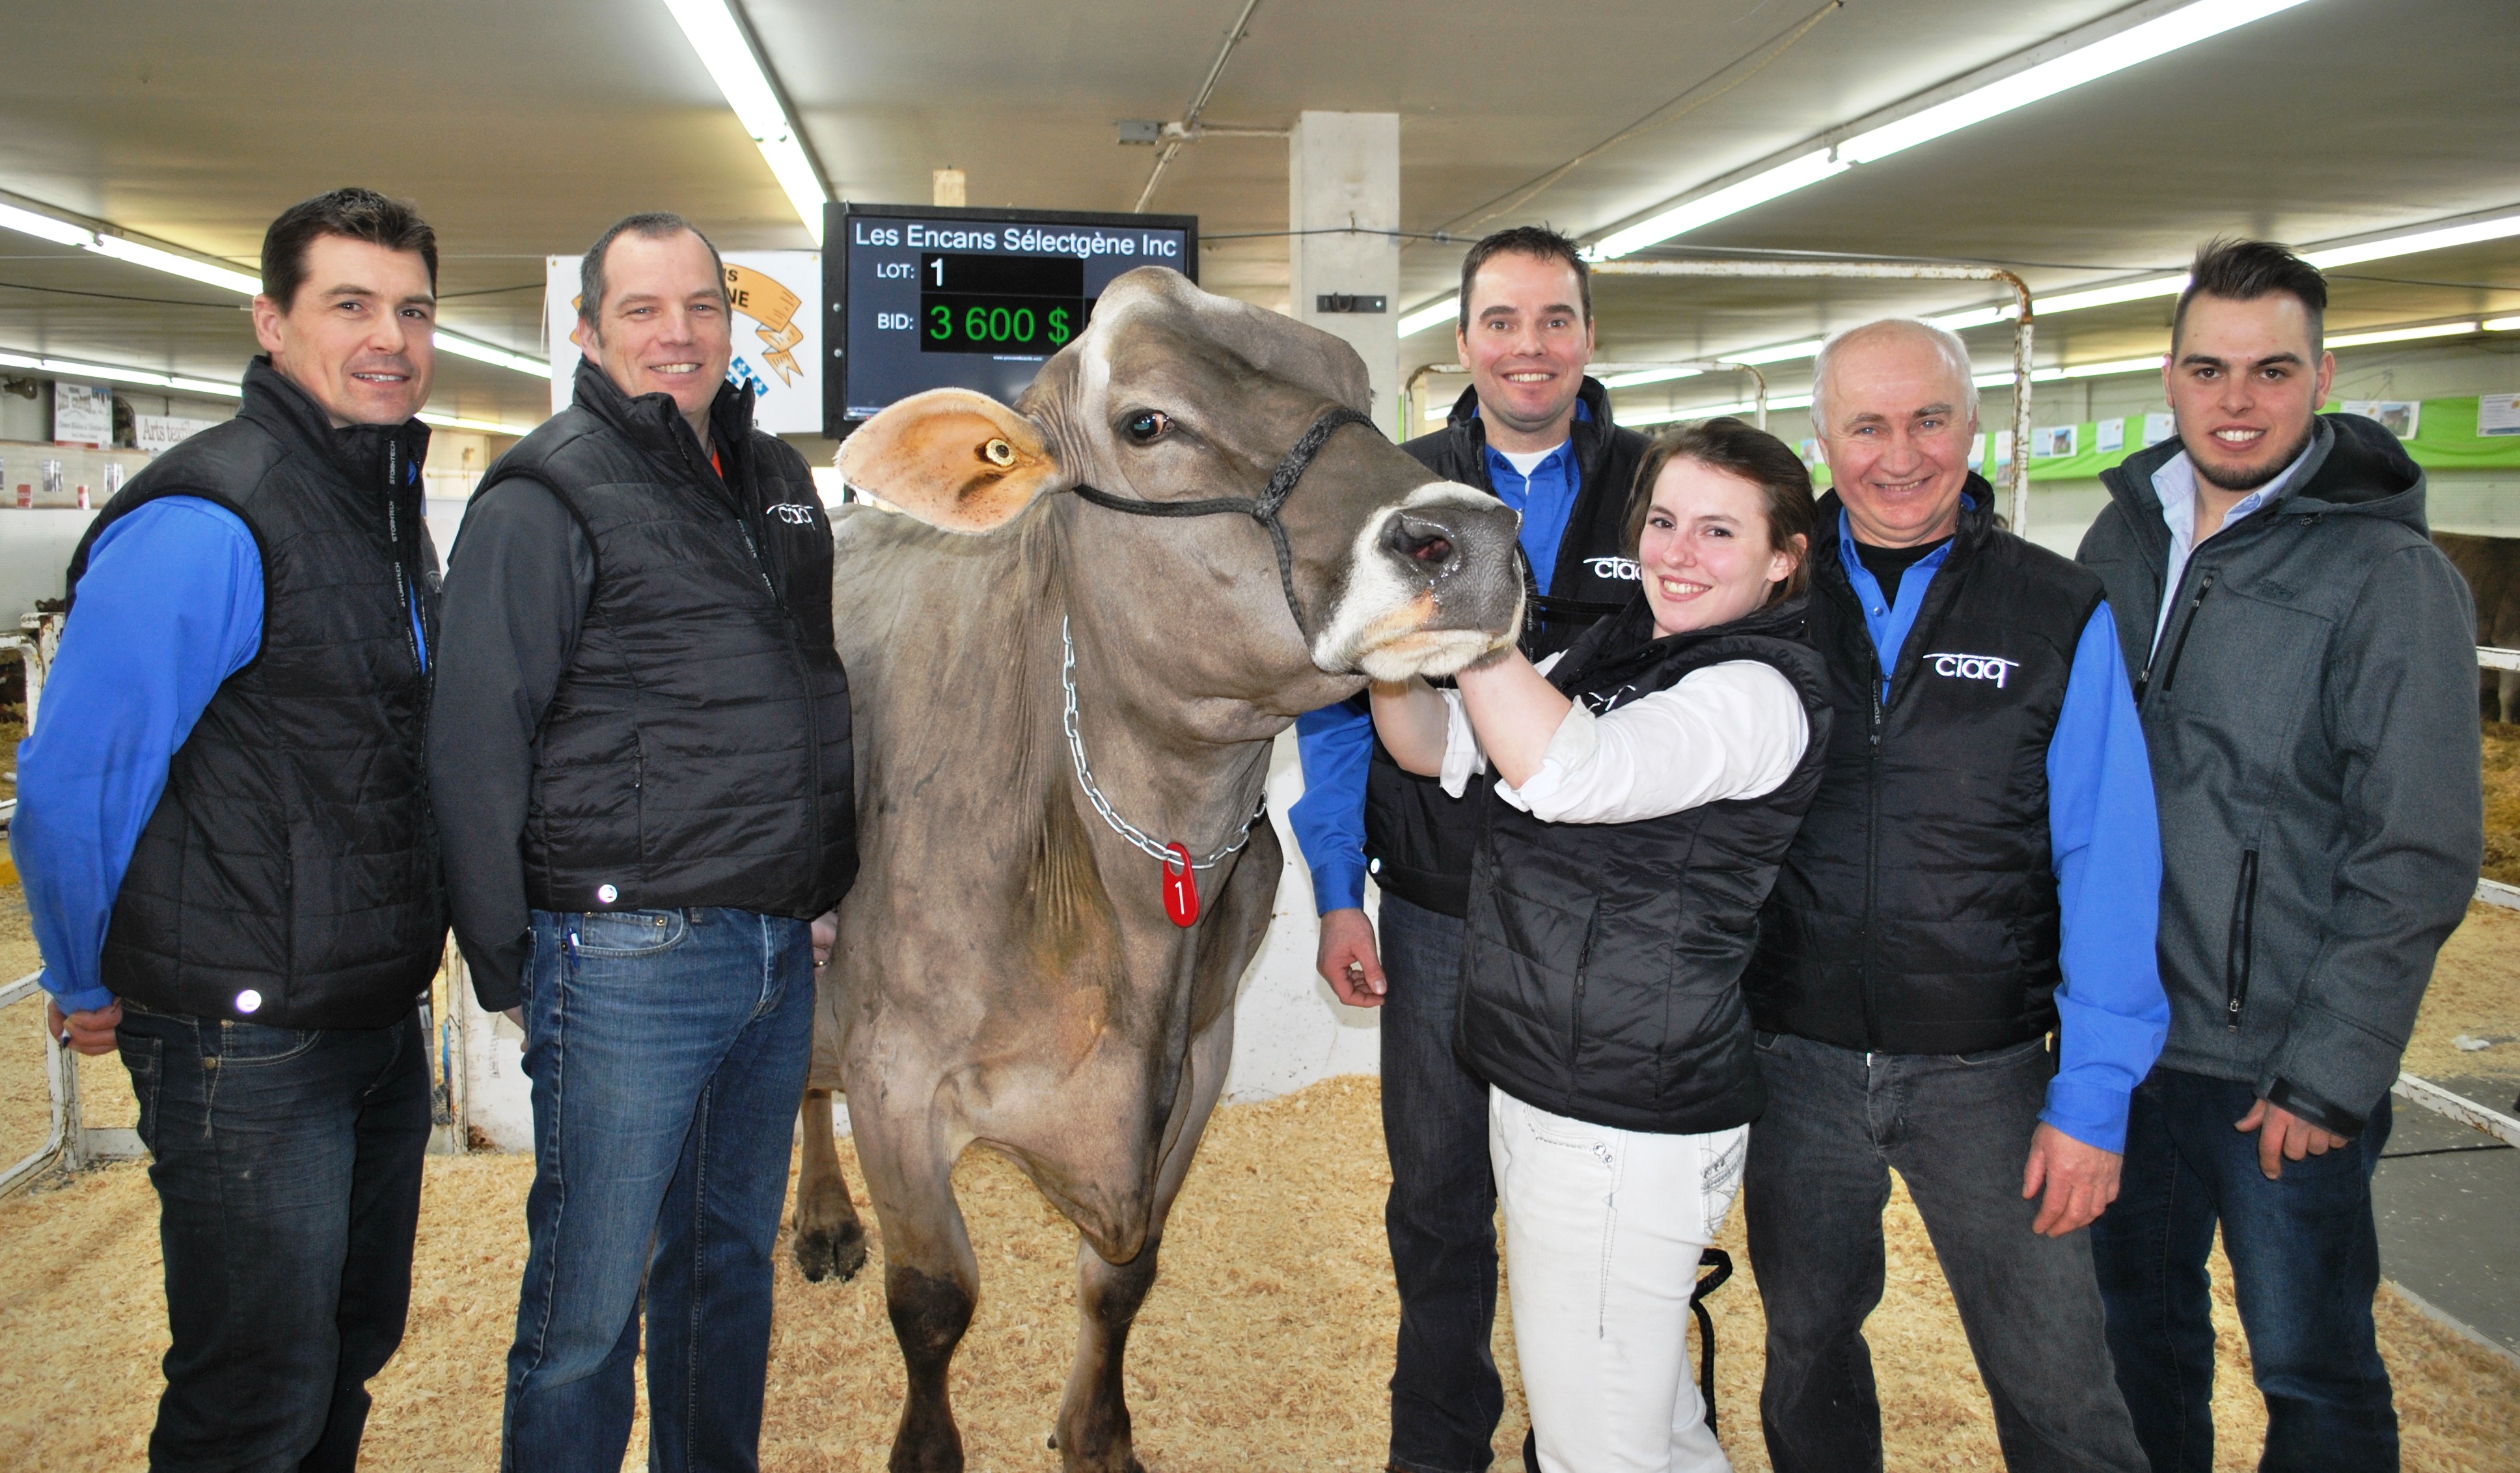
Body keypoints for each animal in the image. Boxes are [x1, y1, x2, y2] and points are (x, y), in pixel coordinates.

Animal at [795, 266, 1527, 1473]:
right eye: (1146, 423)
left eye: (1358, 389)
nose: (1468, 536)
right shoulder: (896, 1076)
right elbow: (934, 1301)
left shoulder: (1202, 1047)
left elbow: (1123, 1277)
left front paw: (1097, 1437)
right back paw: (821, 1218)